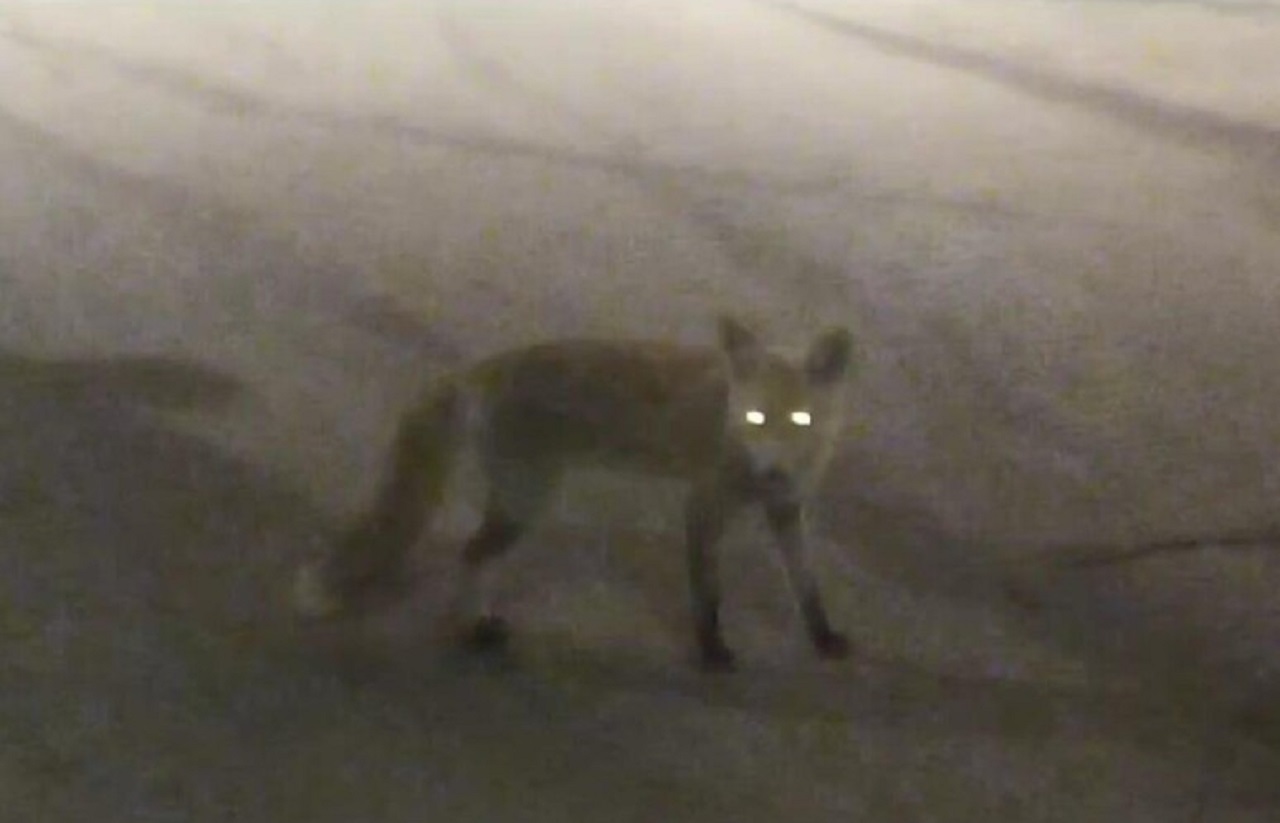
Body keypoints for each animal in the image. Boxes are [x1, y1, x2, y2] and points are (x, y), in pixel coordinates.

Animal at [293, 316, 855, 670]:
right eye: (756, 418)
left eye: (800, 419)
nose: (774, 471)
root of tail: (485, 367)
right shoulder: (703, 506)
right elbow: (708, 594)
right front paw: (712, 651)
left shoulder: (787, 510)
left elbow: (807, 586)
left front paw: (823, 639)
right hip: (527, 501)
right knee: (471, 554)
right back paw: (474, 629)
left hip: (519, 499)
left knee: (473, 555)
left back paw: (476, 622)